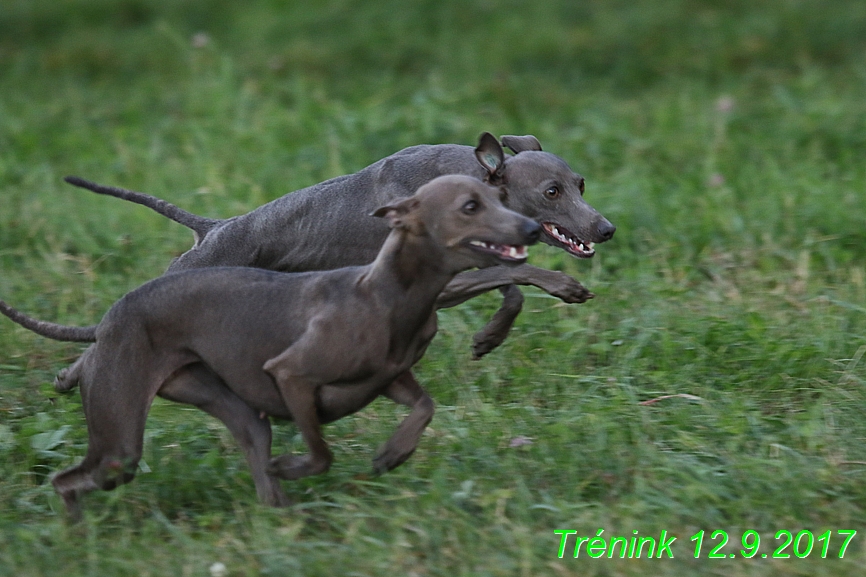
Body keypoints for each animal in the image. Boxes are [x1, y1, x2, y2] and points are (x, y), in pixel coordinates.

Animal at [8, 174, 540, 516]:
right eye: (470, 206)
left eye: (498, 196)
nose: (532, 228)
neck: (386, 291)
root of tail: (109, 319)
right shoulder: (291, 374)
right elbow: (320, 452)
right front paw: (297, 465)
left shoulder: (393, 377)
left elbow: (424, 405)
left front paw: (394, 453)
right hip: (120, 441)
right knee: (68, 479)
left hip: (231, 411)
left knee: (256, 454)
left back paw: (281, 515)